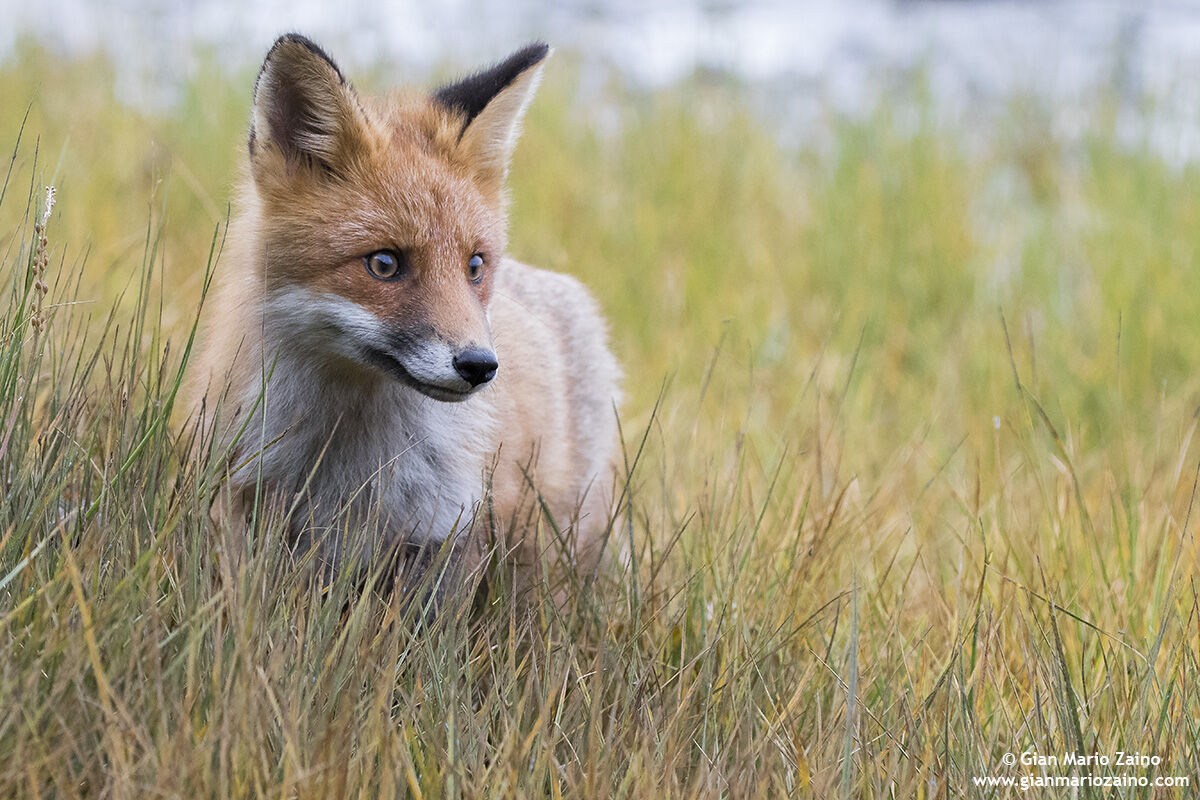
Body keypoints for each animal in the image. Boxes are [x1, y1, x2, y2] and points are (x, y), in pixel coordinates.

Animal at [192, 34, 622, 591]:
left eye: (474, 266)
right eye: (384, 263)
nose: (480, 366)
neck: (351, 460)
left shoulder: (447, 533)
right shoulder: (246, 506)